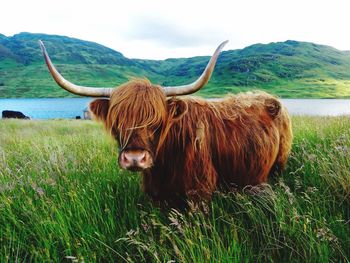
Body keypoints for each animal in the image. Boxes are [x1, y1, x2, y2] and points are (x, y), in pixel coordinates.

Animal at [39, 40, 292, 206]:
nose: (134, 158)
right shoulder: (157, 195)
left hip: (279, 165)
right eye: (117, 121)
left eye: (157, 121)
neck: (166, 163)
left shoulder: (199, 192)